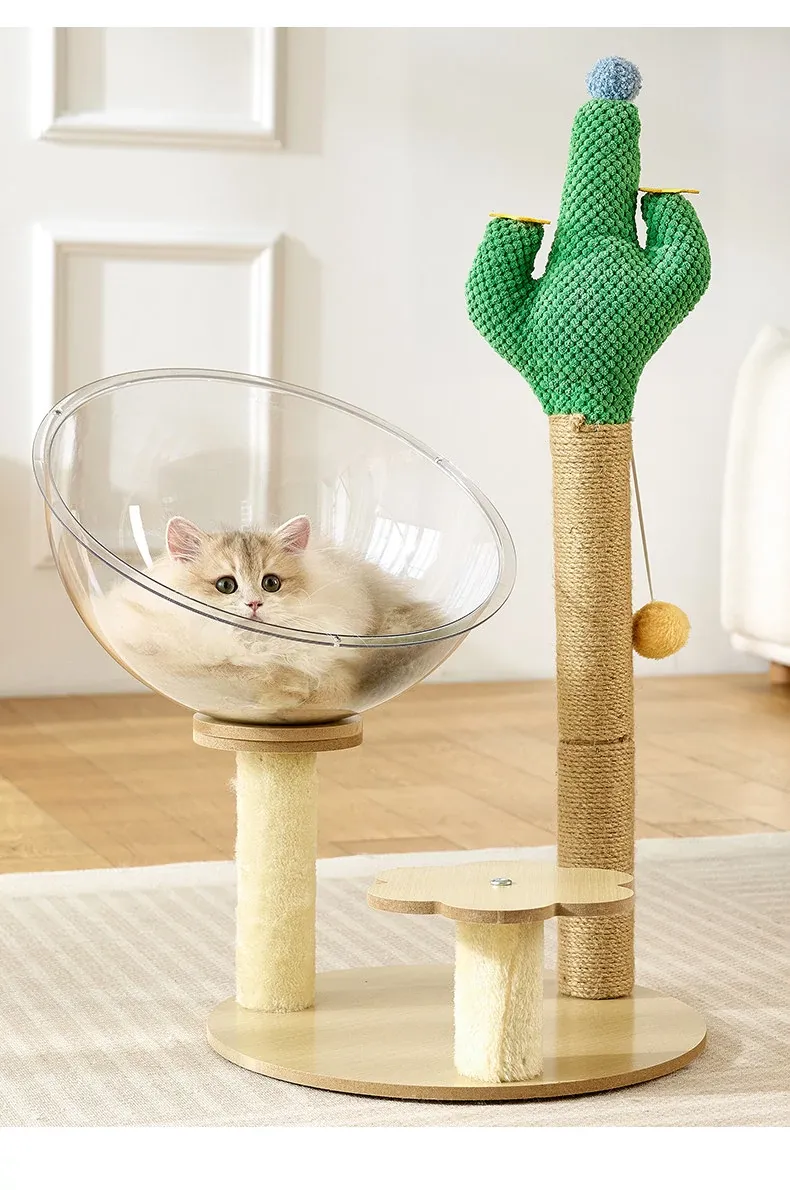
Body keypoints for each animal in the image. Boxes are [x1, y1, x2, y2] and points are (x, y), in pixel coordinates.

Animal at [93, 515, 446, 721]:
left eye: (271, 583)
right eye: (226, 585)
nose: (254, 604)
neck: (253, 646)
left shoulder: (338, 665)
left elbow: (324, 688)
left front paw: (290, 698)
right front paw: (277, 695)